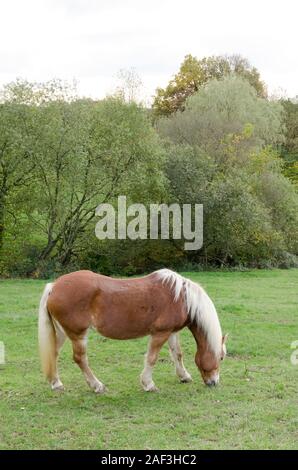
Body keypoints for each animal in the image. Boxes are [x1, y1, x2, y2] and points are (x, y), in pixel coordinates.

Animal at [37, 268, 228, 392]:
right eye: (221, 357)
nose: (214, 382)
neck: (181, 297)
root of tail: (54, 286)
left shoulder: (172, 332)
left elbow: (177, 354)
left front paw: (184, 376)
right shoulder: (160, 333)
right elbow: (152, 358)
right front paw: (148, 384)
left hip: (63, 332)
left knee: (53, 353)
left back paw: (56, 383)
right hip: (78, 335)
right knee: (80, 359)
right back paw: (97, 385)